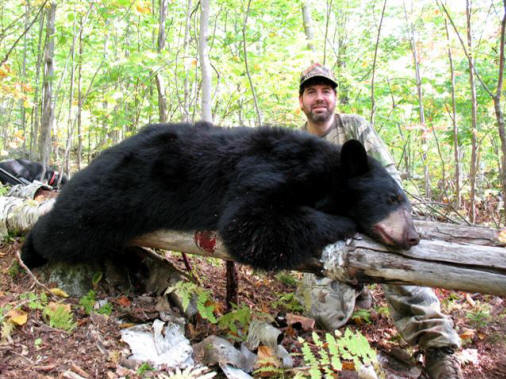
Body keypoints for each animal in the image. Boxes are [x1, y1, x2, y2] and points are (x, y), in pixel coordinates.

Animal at [20, 122, 420, 270]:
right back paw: (31, 250)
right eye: (391, 198)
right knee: (69, 227)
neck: (323, 170)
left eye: (405, 202)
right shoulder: (269, 170)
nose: (413, 236)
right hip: (116, 192)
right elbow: (251, 224)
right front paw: (343, 219)